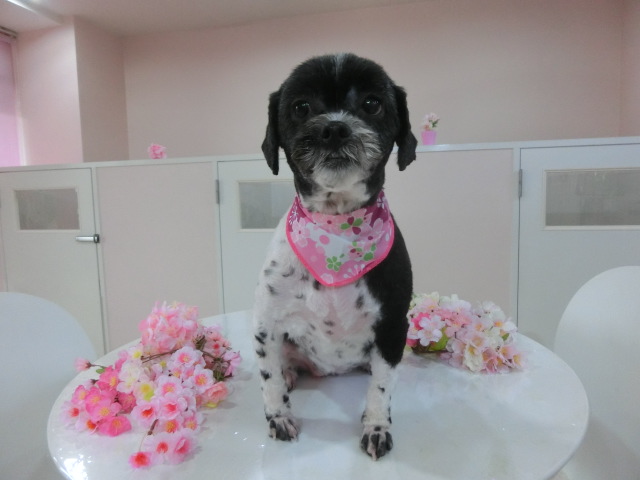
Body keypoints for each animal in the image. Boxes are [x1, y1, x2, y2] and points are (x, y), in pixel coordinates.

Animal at [253, 53, 417, 460]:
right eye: (301, 107)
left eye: (372, 103)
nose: (335, 129)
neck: (337, 229)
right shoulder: (266, 324)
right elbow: (269, 380)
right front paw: (279, 418)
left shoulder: (393, 327)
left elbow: (382, 389)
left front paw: (376, 427)